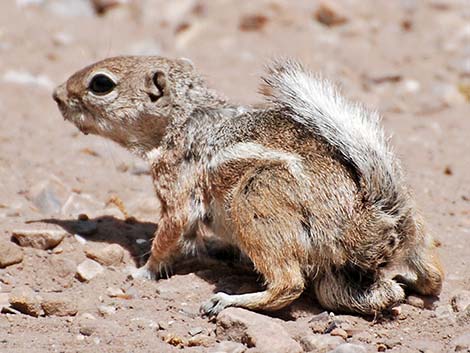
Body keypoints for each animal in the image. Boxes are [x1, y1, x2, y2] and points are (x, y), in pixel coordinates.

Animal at [53, 56, 442, 314]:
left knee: (289, 285)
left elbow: (172, 229)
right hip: (381, 249)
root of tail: (370, 220)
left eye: (100, 84)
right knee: (403, 286)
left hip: (255, 199)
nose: (56, 94)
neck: (187, 117)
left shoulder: (176, 183)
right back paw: (410, 282)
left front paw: (142, 272)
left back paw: (230, 300)